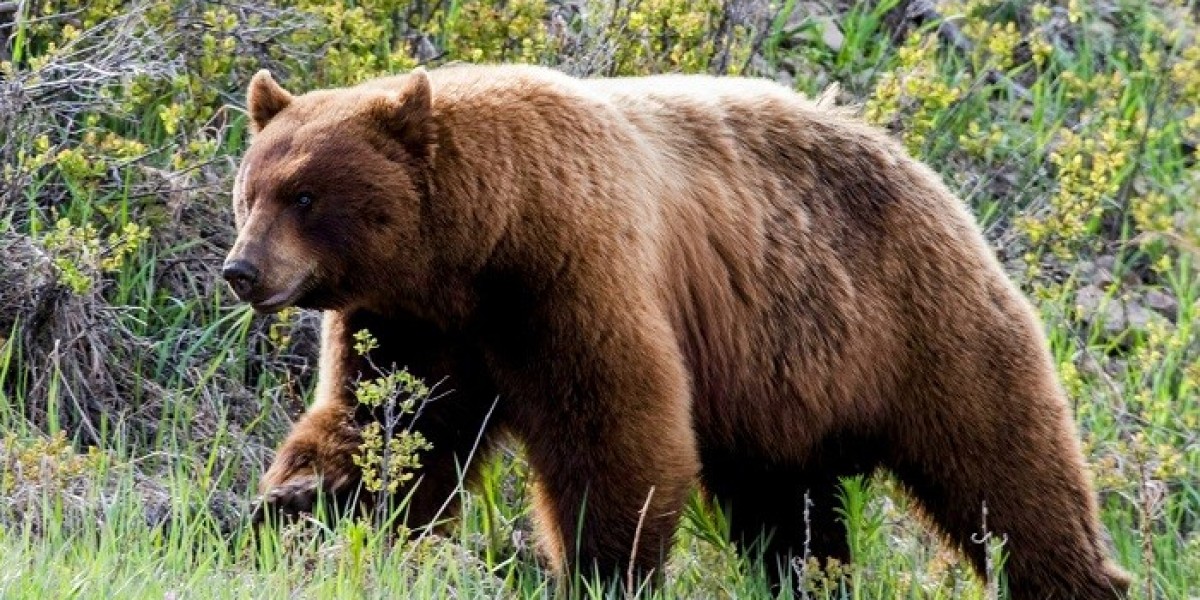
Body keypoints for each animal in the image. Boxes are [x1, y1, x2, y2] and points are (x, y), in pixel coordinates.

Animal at [223, 64, 1130, 598]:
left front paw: (596, 568)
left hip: (916, 317)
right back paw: (808, 576)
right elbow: (385, 427)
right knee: (789, 507)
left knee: (1004, 465)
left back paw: (1082, 578)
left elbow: (617, 428)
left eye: (305, 196)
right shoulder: (411, 323)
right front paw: (290, 506)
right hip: (782, 380)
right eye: (250, 191)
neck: (477, 244)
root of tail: (921, 166)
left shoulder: (573, 274)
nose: (241, 271)